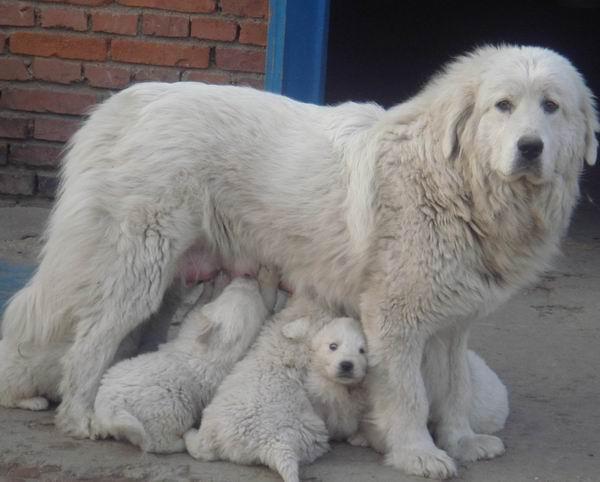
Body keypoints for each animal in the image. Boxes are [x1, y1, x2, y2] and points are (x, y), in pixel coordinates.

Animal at [92, 270, 278, 454]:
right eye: (233, 289)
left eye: (242, 289)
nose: (247, 276)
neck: (220, 350)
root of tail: (111, 411)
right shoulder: (194, 327)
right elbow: (199, 307)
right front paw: (213, 284)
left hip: (165, 415)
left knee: (155, 443)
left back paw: (180, 441)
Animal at [185, 302, 368, 482]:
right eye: (332, 345)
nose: (342, 312)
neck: (287, 349)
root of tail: (275, 443)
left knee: (203, 448)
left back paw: (189, 434)